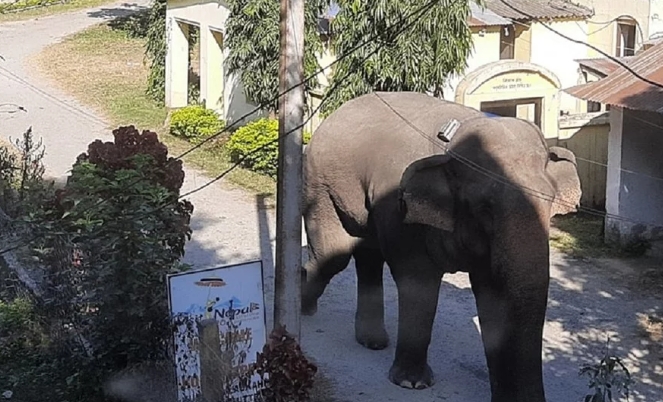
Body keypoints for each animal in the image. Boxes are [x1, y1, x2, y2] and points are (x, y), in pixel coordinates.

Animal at [300, 91, 582, 402]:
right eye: (484, 208)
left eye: (550, 203)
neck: (455, 137)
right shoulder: (399, 208)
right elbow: (418, 280)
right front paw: (411, 383)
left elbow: (493, 292)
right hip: (320, 184)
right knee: (334, 255)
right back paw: (304, 307)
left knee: (367, 254)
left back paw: (371, 341)